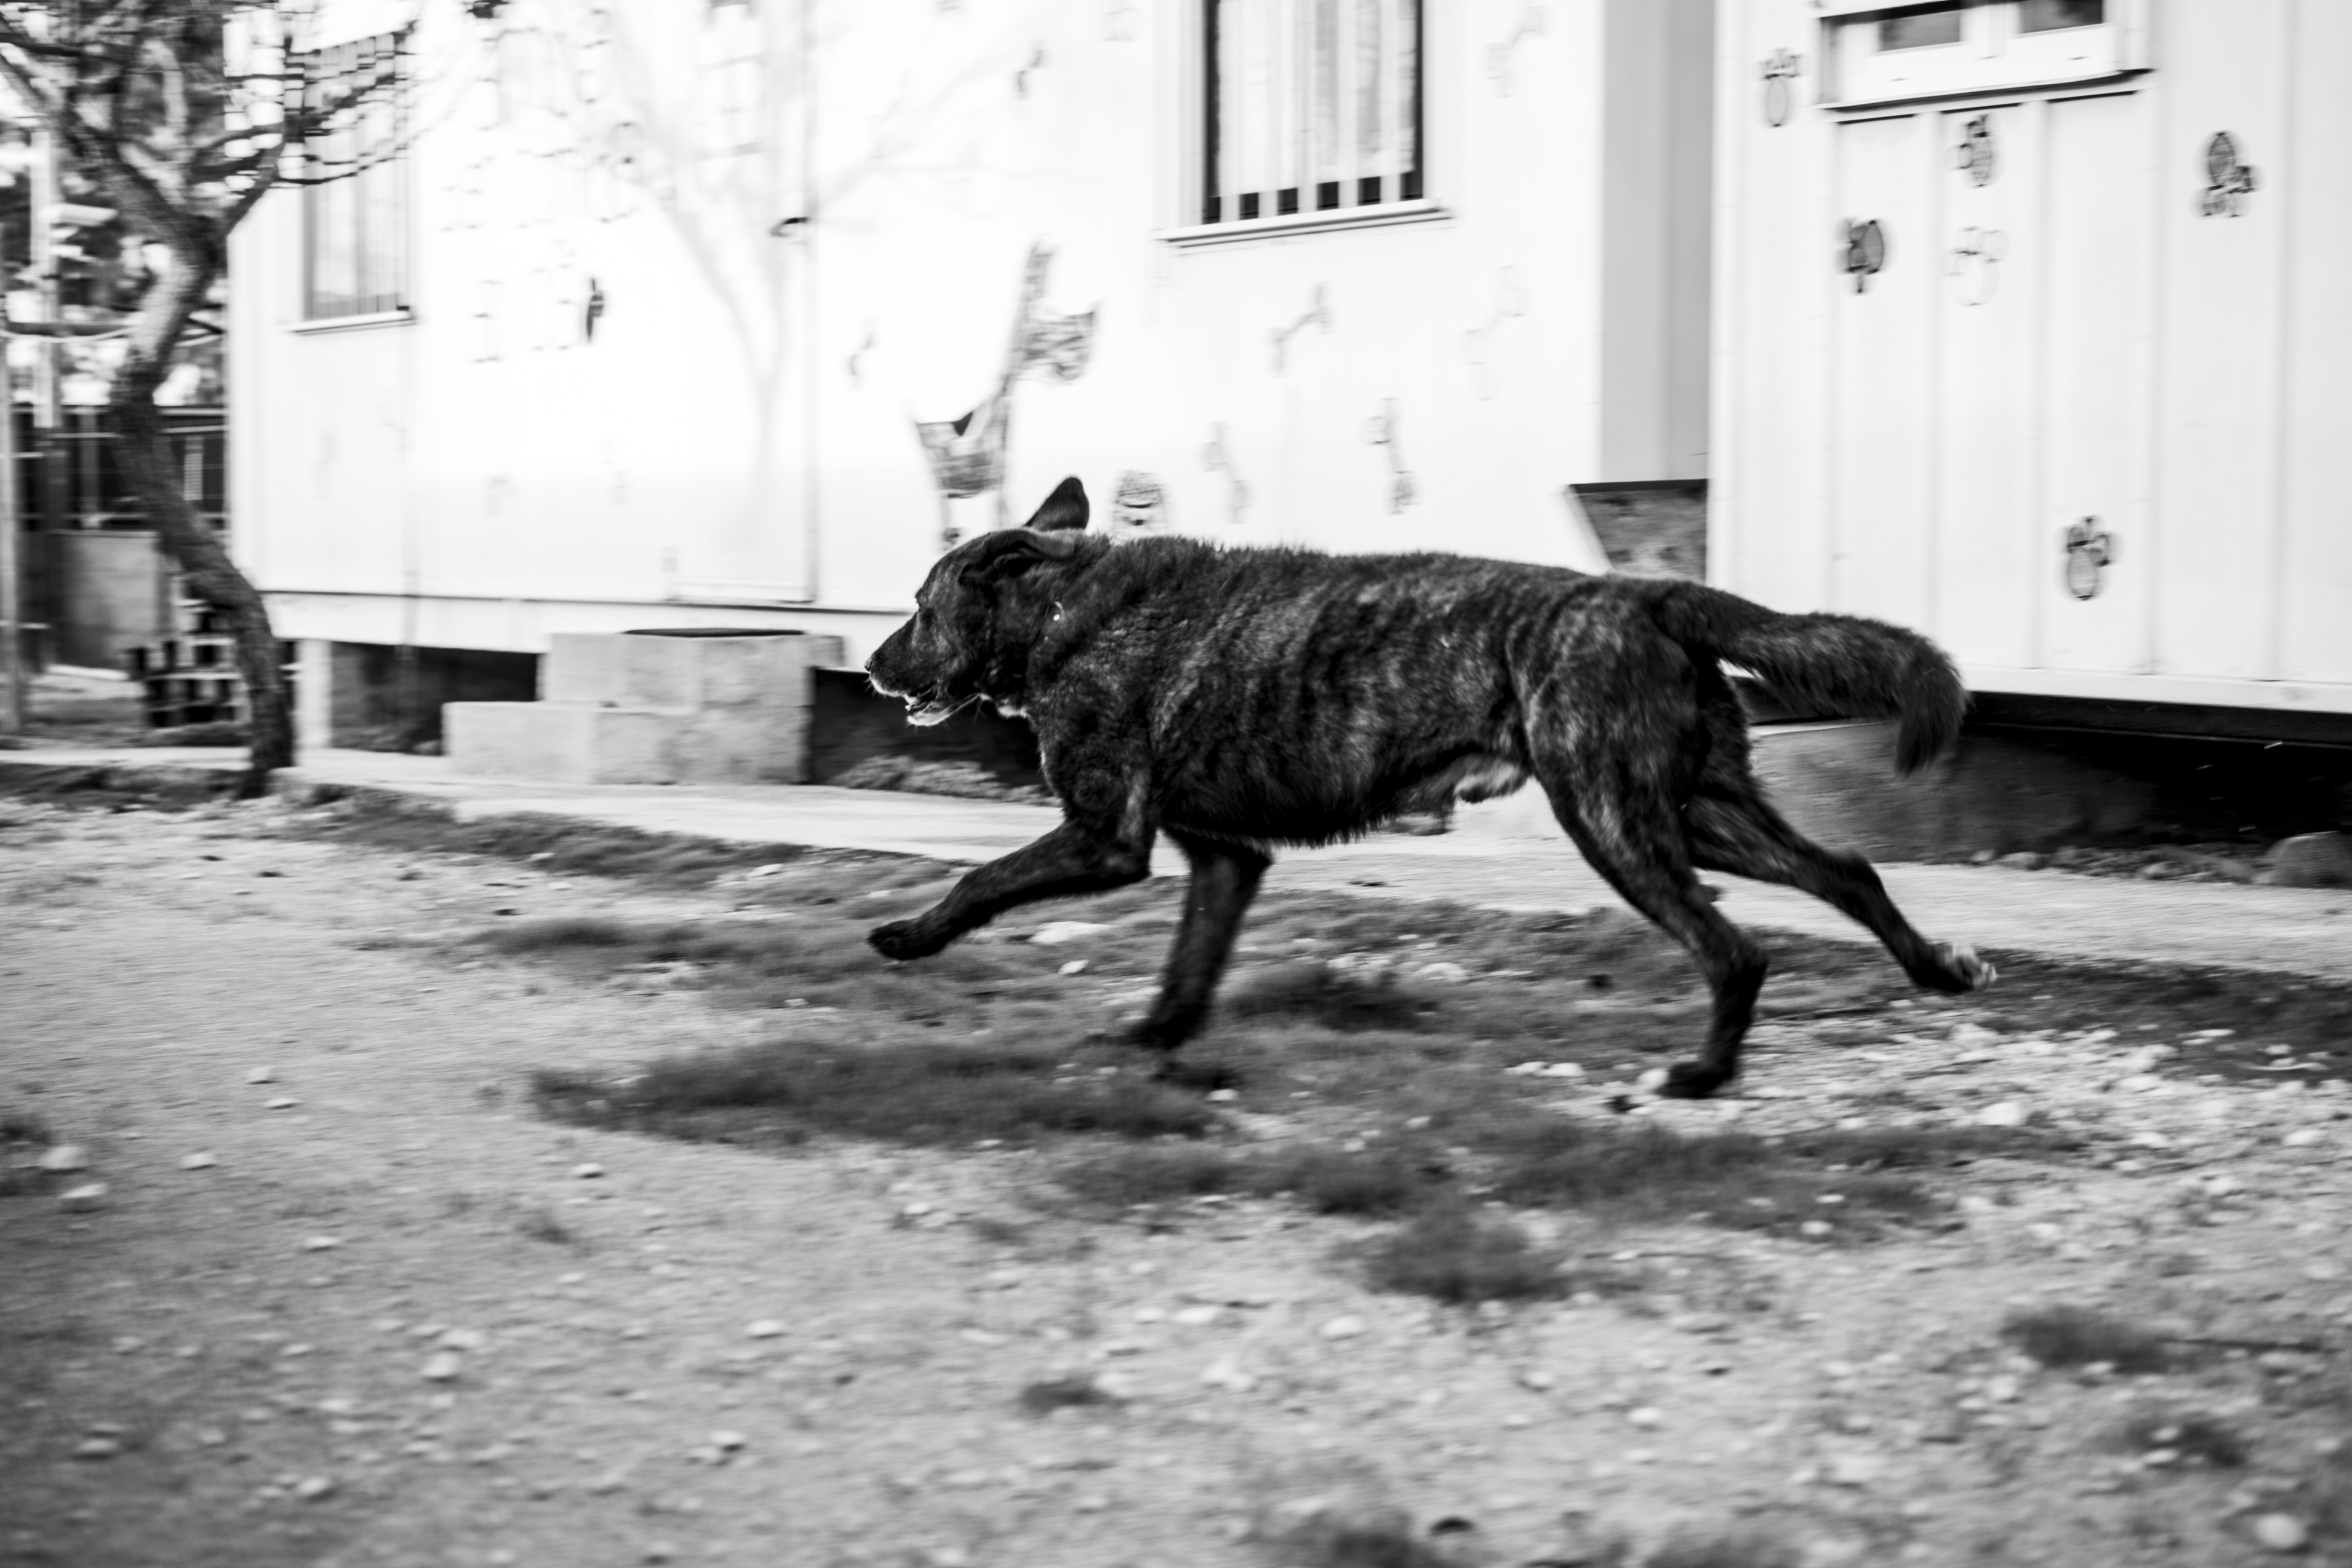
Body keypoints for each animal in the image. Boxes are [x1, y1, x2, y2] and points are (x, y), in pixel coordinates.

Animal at [863, 477, 1992, 1098]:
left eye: (919, 606)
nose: (872, 664)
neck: (1066, 613)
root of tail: (1647, 593)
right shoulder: (1227, 861)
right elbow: (1189, 970)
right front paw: (1152, 1040)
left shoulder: (1103, 836)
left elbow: (978, 880)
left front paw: (910, 937)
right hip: (1701, 813)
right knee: (1847, 871)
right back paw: (1936, 969)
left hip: (1616, 821)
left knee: (1736, 948)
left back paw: (1705, 1076)